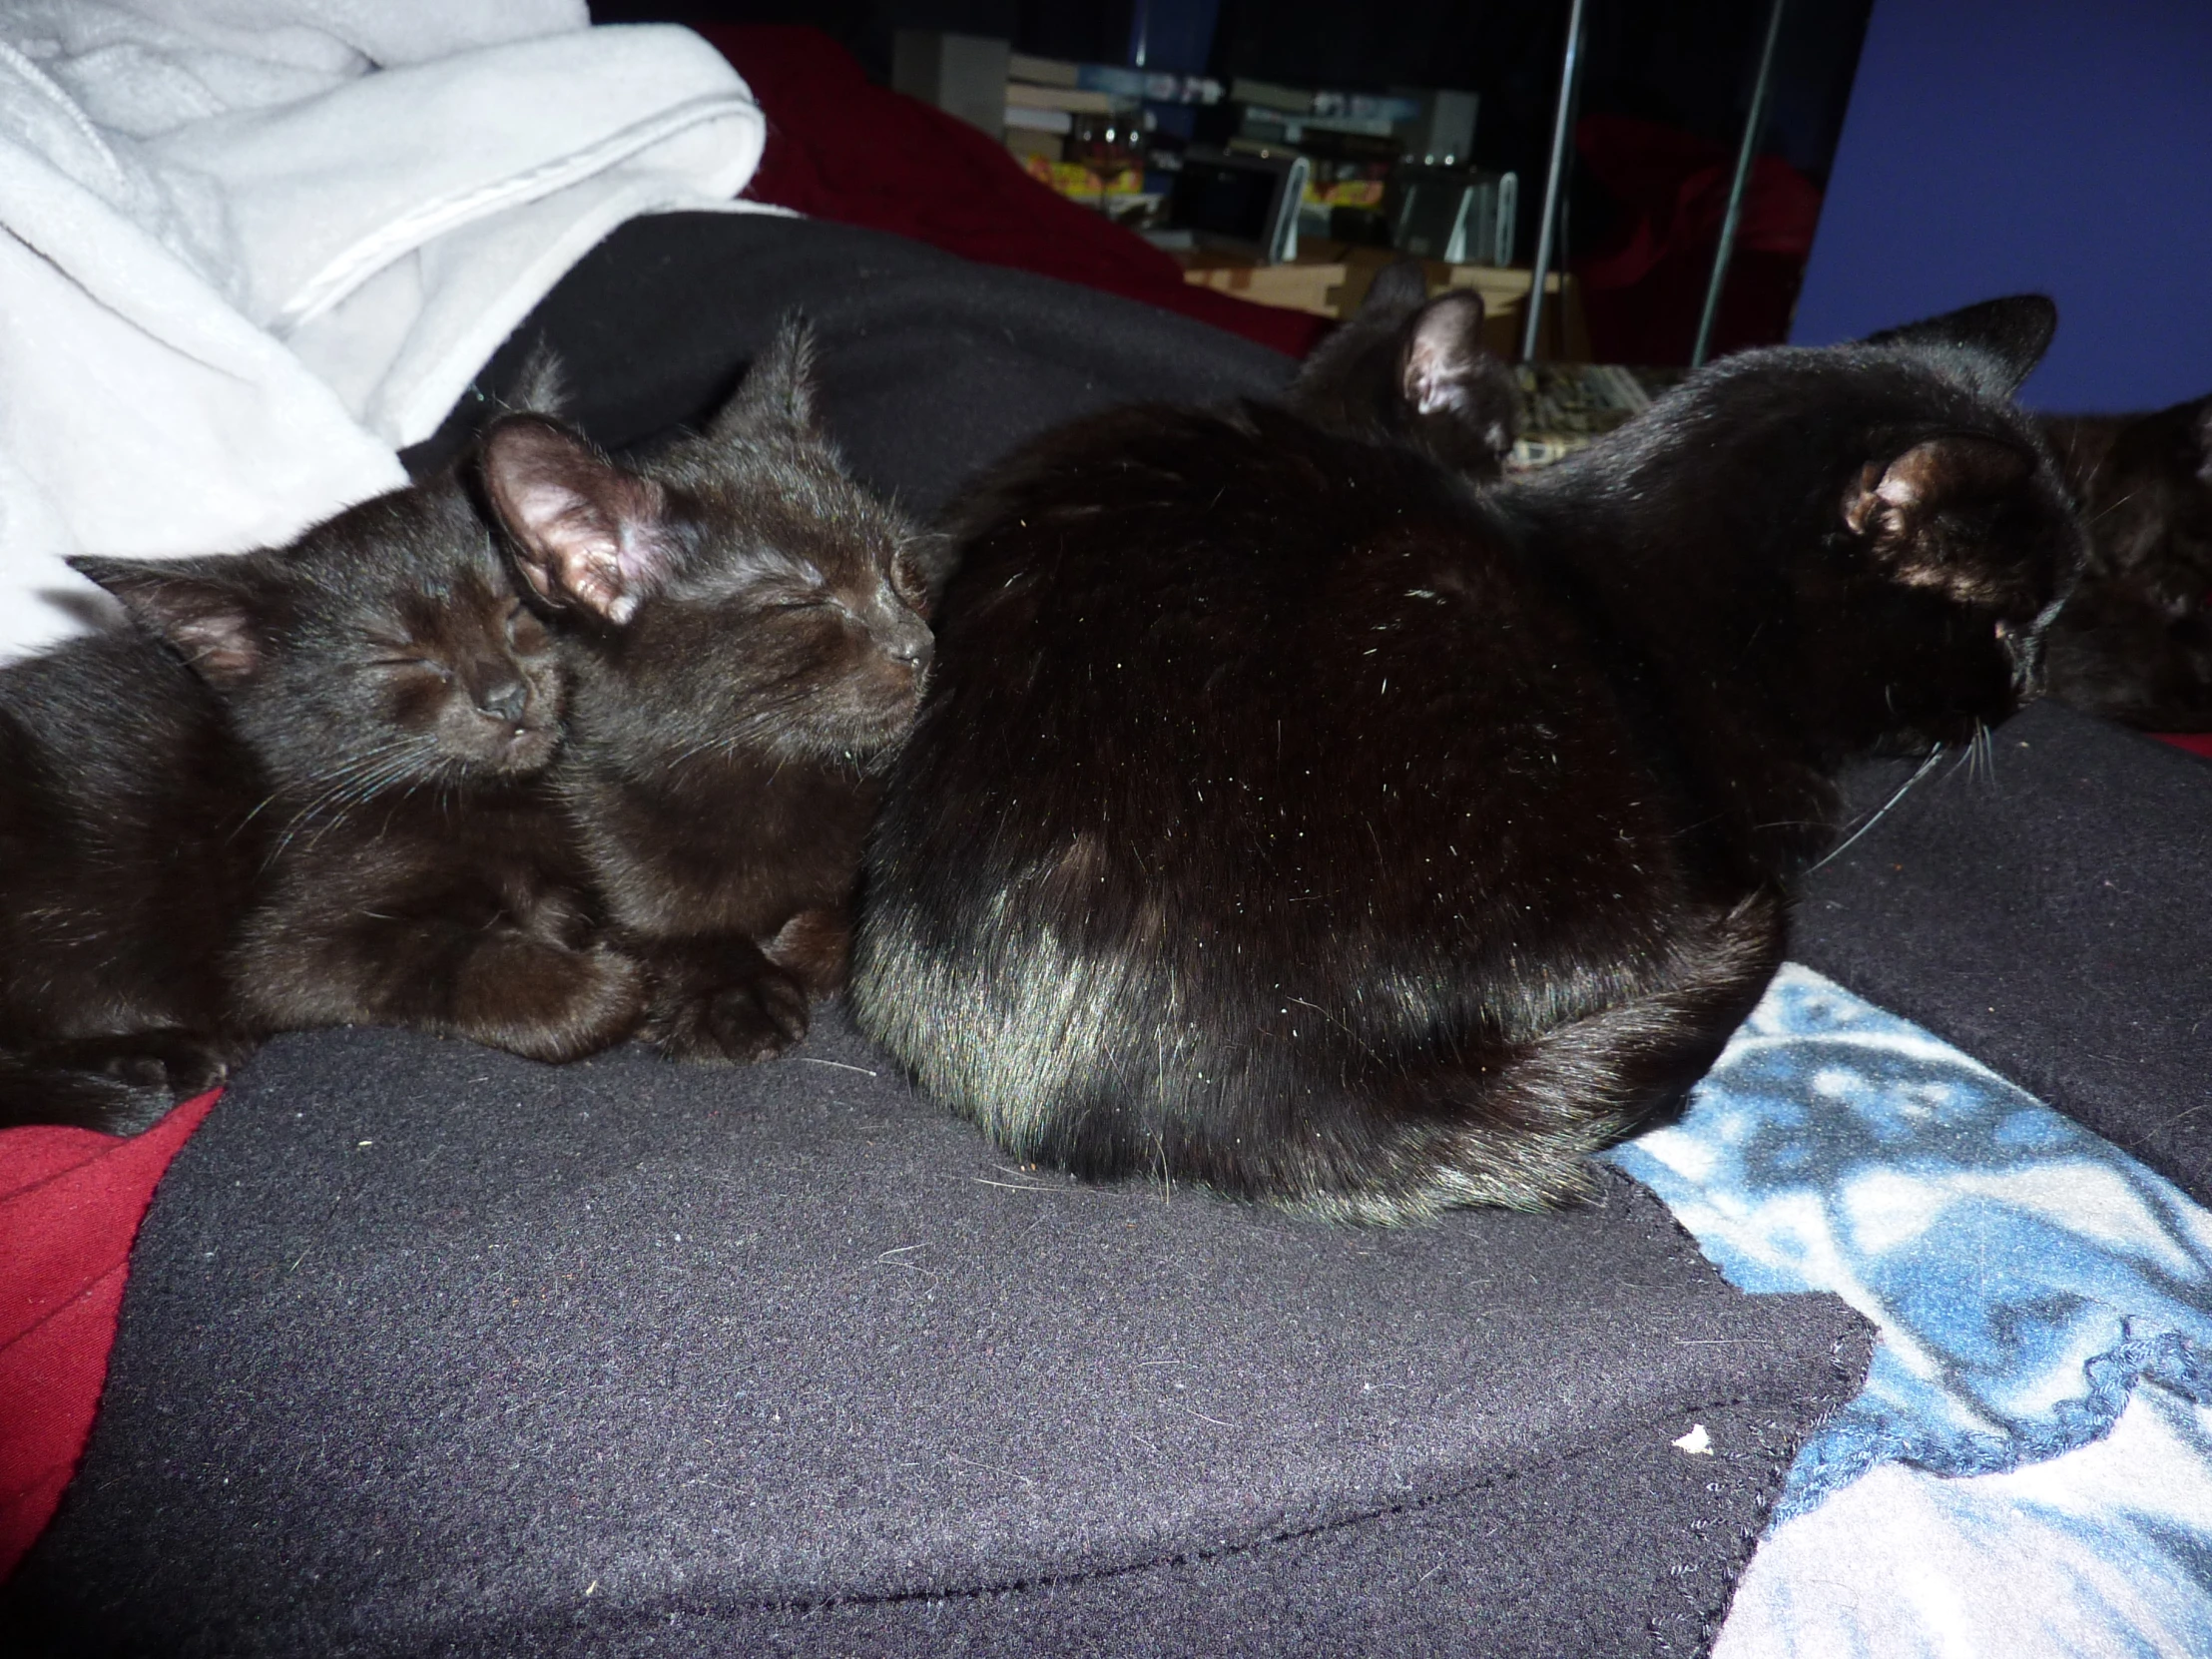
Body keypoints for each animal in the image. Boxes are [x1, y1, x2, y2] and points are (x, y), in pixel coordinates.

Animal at [6, 435, 646, 1132]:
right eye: (398, 657)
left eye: (517, 611)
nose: (506, 698)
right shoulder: (282, 953)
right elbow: (440, 953)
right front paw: (596, 989)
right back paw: (160, 1059)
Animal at [484, 315, 933, 1066]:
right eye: (802, 602)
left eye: (902, 572)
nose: (920, 643)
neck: (757, 775)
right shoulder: (595, 825)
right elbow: (655, 927)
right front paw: (731, 988)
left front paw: (802, 941)